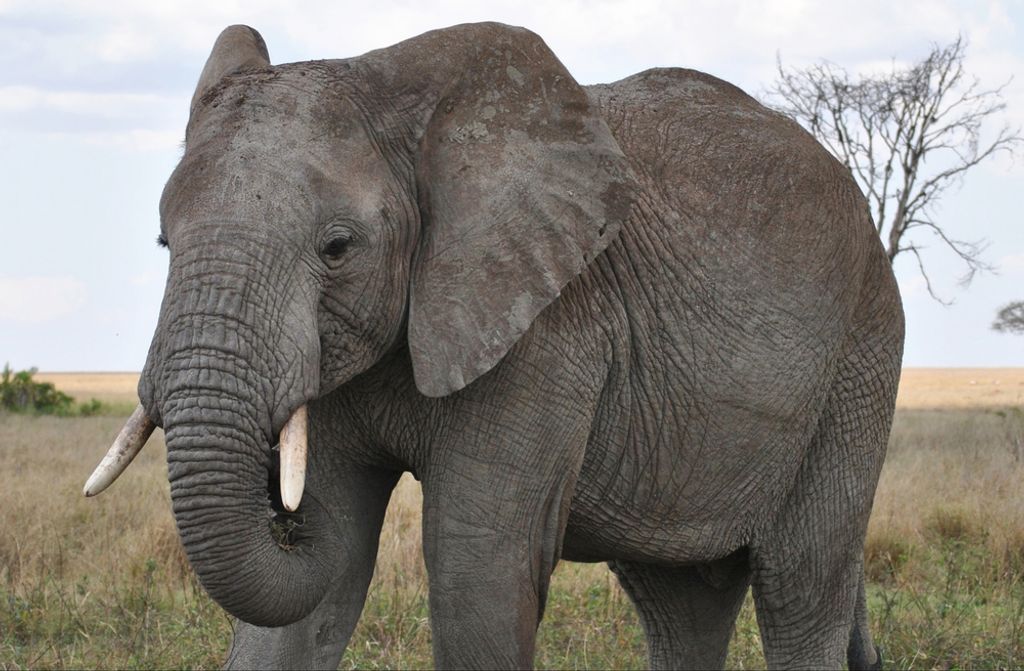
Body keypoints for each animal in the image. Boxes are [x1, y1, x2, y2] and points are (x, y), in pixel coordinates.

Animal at [84, 22, 903, 670]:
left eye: (338, 247)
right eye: (164, 242)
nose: (279, 512)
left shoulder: (546, 330)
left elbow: (473, 568)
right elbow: (328, 568)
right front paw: (317, 523)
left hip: (860, 355)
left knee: (801, 582)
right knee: (681, 600)